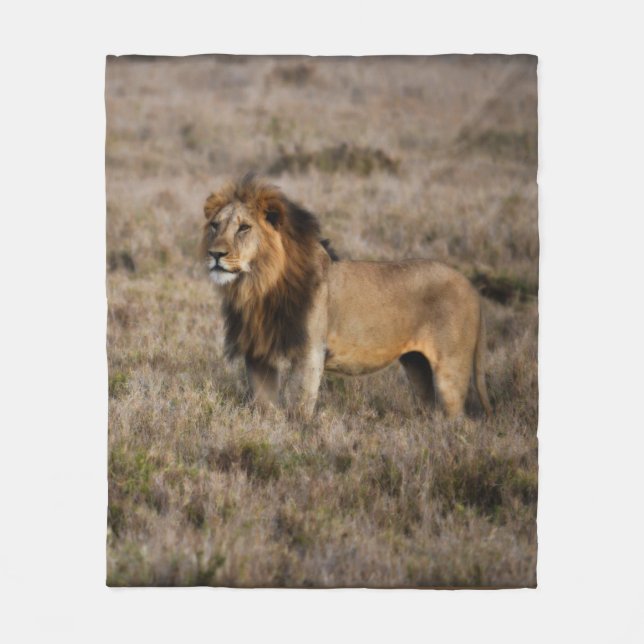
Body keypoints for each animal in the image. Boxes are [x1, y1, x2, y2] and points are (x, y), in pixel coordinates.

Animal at [201, 174, 492, 420]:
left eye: (244, 228)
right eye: (215, 226)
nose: (215, 254)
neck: (257, 286)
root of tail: (471, 288)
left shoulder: (309, 352)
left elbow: (299, 405)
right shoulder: (258, 353)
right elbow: (263, 406)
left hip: (450, 369)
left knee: (457, 418)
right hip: (416, 364)